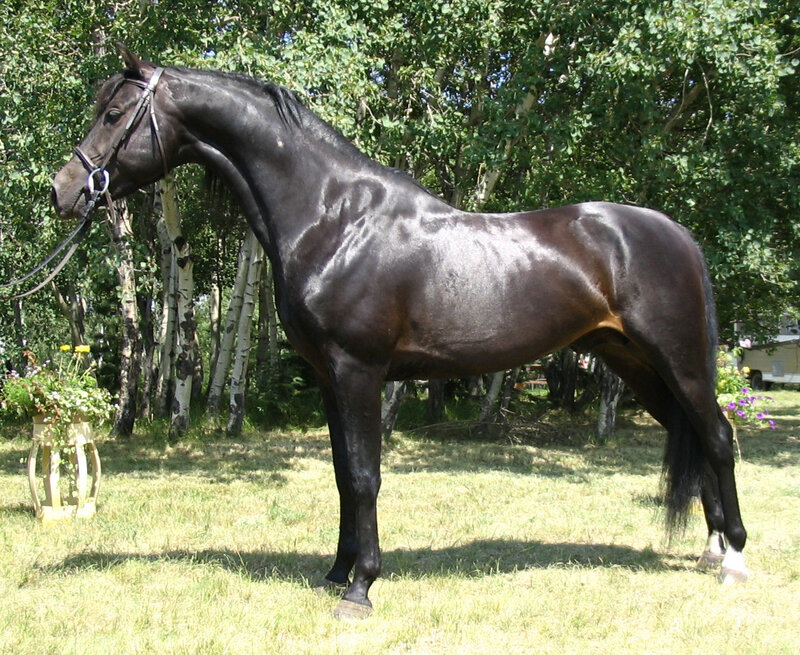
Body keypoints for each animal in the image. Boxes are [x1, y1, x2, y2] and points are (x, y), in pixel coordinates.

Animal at [52, 46, 748, 618]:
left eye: (114, 114)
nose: (65, 191)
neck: (333, 217)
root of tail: (676, 234)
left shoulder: (358, 370)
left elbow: (365, 476)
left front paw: (361, 588)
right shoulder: (330, 377)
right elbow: (341, 473)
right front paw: (336, 572)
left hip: (680, 360)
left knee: (717, 436)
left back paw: (736, 558)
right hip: (634, 362)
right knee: (693, 434)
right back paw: (712, 549)